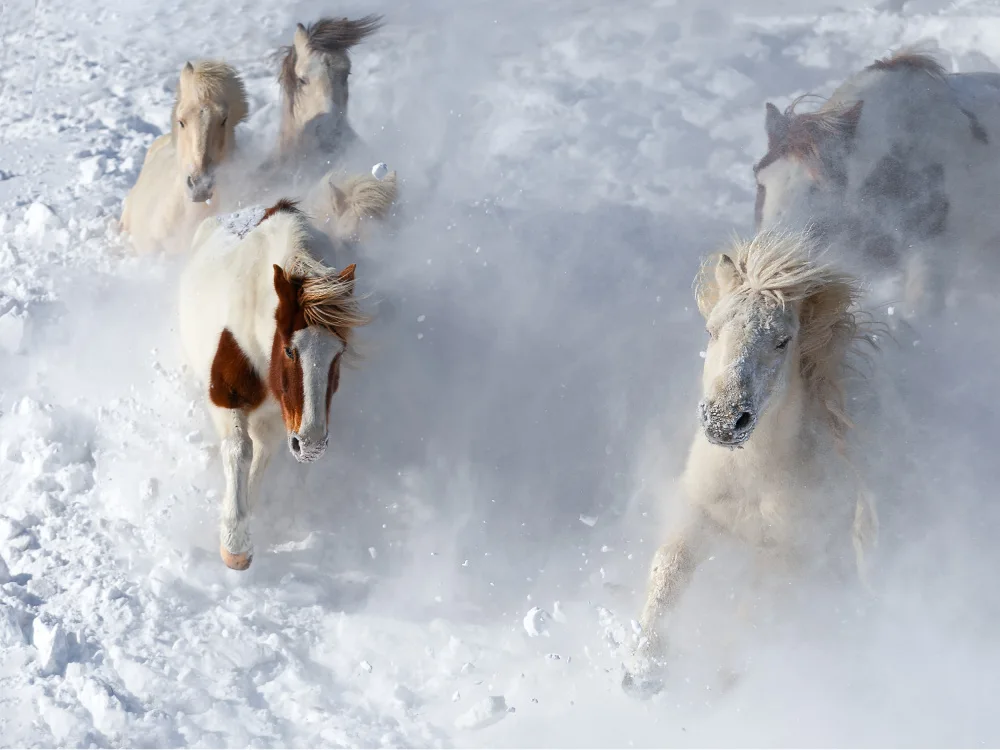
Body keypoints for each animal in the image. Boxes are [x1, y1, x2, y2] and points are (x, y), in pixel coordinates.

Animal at [178, 199, 369, 570]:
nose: (311, 445)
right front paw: (234, 546)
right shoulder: (224, 398)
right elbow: (239, 450)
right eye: (290, 349)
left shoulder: (278, 416)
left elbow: (262, 455)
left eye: (338, 353)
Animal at [622, 229, 880, 698]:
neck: (752, 480)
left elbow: (751, 621)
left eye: (782, 340)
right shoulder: (699, 513)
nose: (726, 421)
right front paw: (642, 670)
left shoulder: (788, 556)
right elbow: (668, 571)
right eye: (711, 329)